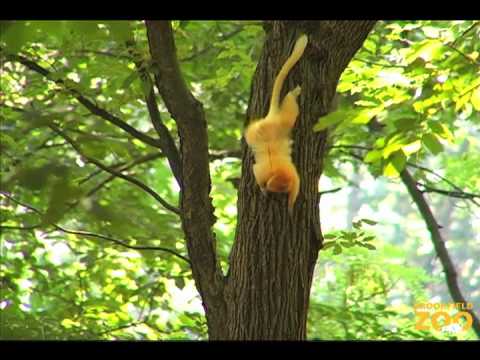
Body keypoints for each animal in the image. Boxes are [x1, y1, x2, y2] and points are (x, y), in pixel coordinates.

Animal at [244, 33, 308, 214]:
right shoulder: (270, 173)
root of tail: (271, 120)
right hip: (274, 124)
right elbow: (256, 171)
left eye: (279, 189)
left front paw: (289, 204)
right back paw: (293, 94)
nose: (270, 189)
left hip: (259, 128)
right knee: (290, 111)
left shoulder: (291, 175)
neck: (276, 172)